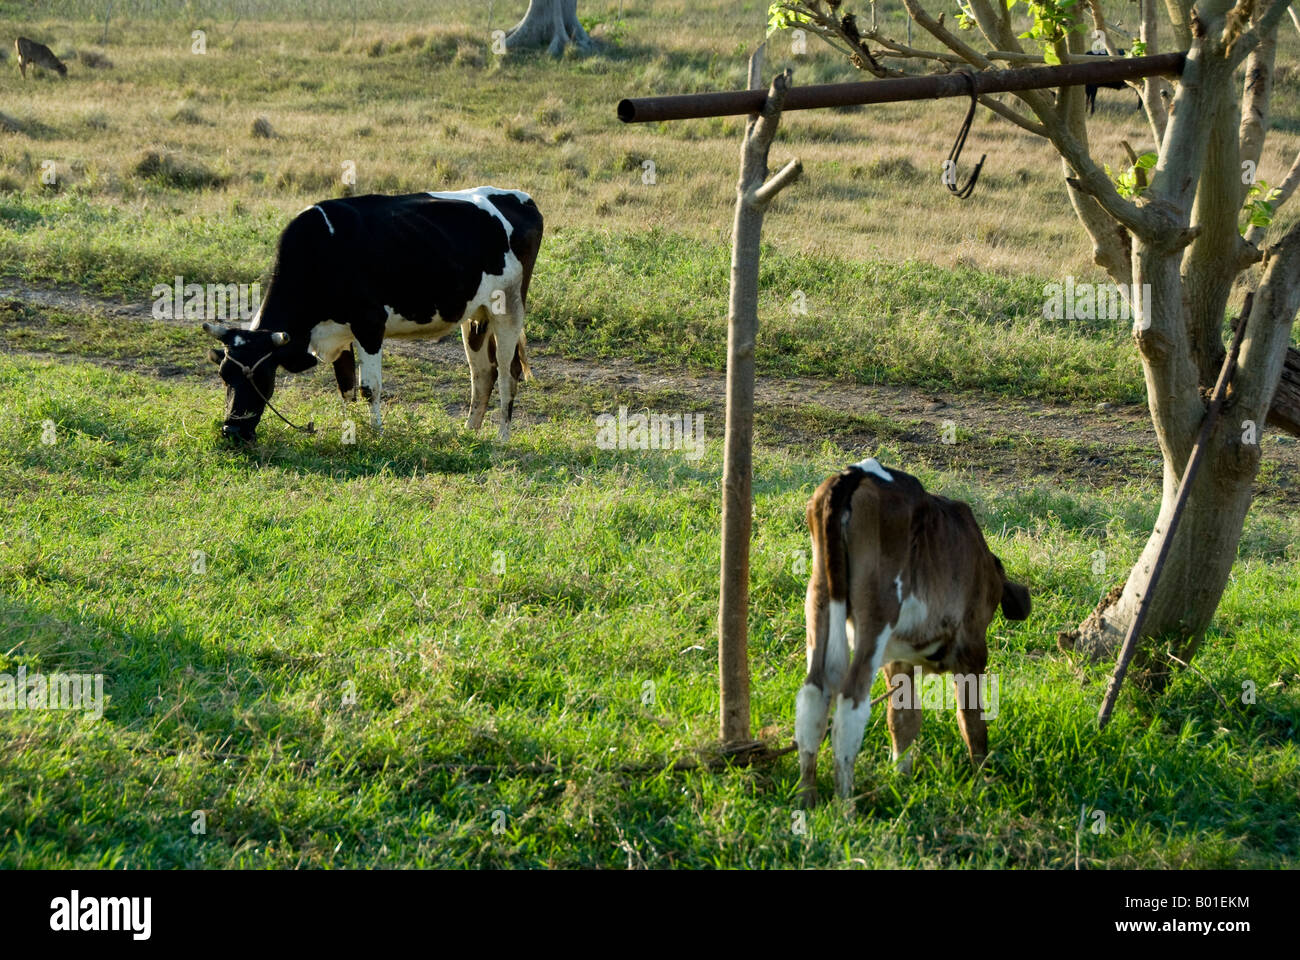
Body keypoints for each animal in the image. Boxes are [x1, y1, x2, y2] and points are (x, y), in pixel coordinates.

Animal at [201, 184, 543, 442]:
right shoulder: (337, 334)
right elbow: (346, 388)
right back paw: (468, 434)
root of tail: (519, 197)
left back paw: (502, 439)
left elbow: (369, 388)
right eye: (224, 377)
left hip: (509, 308)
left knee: (507, 373)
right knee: (483, 373)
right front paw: (349, 431)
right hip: (476, 316)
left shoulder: (369, 325)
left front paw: (376, 434)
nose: (231, 431)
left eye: (263, 377)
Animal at [795, 455, 1029, 801]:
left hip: (819, 596)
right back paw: (846, 802)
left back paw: (807, 797)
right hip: (877, 611)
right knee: (851, 701)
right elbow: (971, 717)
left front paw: (901, 777)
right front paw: (982, 779)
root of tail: (857, 472)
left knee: (814, 694)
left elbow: (903, 717)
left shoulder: (898, 660)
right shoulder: (973, 647)